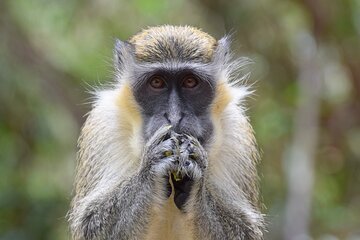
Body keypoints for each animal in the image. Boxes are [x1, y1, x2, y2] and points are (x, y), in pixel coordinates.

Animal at [68, 25, 264, 239]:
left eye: (190, 82)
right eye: (157, 82)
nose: (174, 116)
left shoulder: (237, 132)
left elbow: (244, 228)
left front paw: (197, 180)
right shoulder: (103, 125)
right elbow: (90, 223)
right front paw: (151, 168)